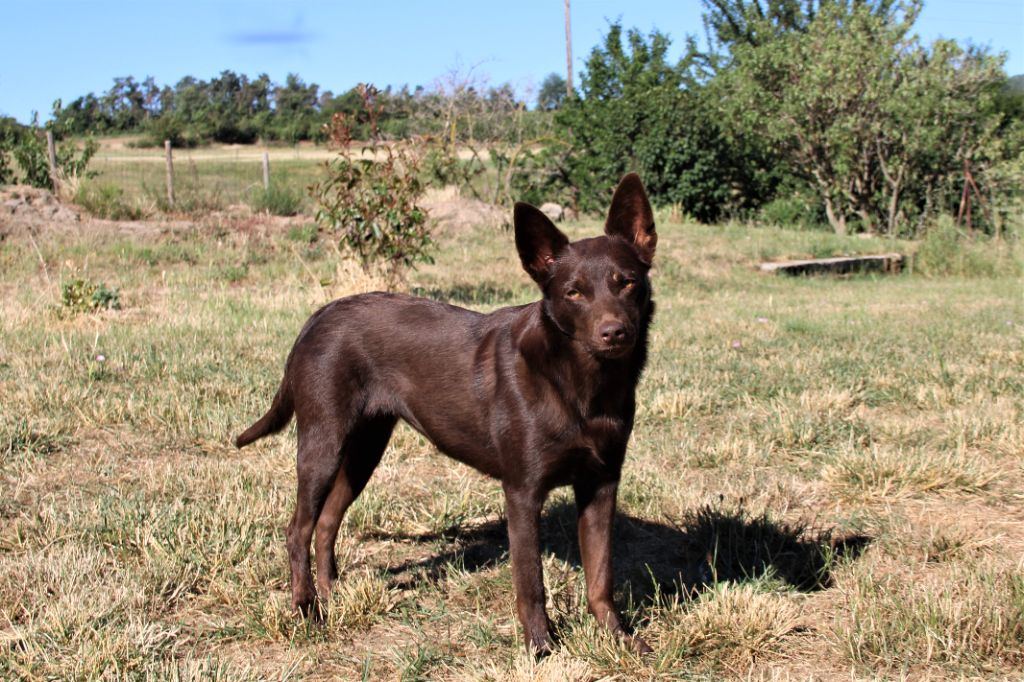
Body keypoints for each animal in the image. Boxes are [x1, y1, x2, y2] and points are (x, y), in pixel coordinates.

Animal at [235, 173, 655, 651]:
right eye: (574, 292)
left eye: (627, 282)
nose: (614, 333)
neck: (582, 386)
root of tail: (318, 317)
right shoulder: (522, 490)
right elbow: (530, 581)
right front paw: (541, 647)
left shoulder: (601, 483)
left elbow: (601, 576)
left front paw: (620, 640)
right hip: (322, 442)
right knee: (298, 528)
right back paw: (306, 608)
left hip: (365, 448)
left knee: (326, 522)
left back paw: (330, 594)